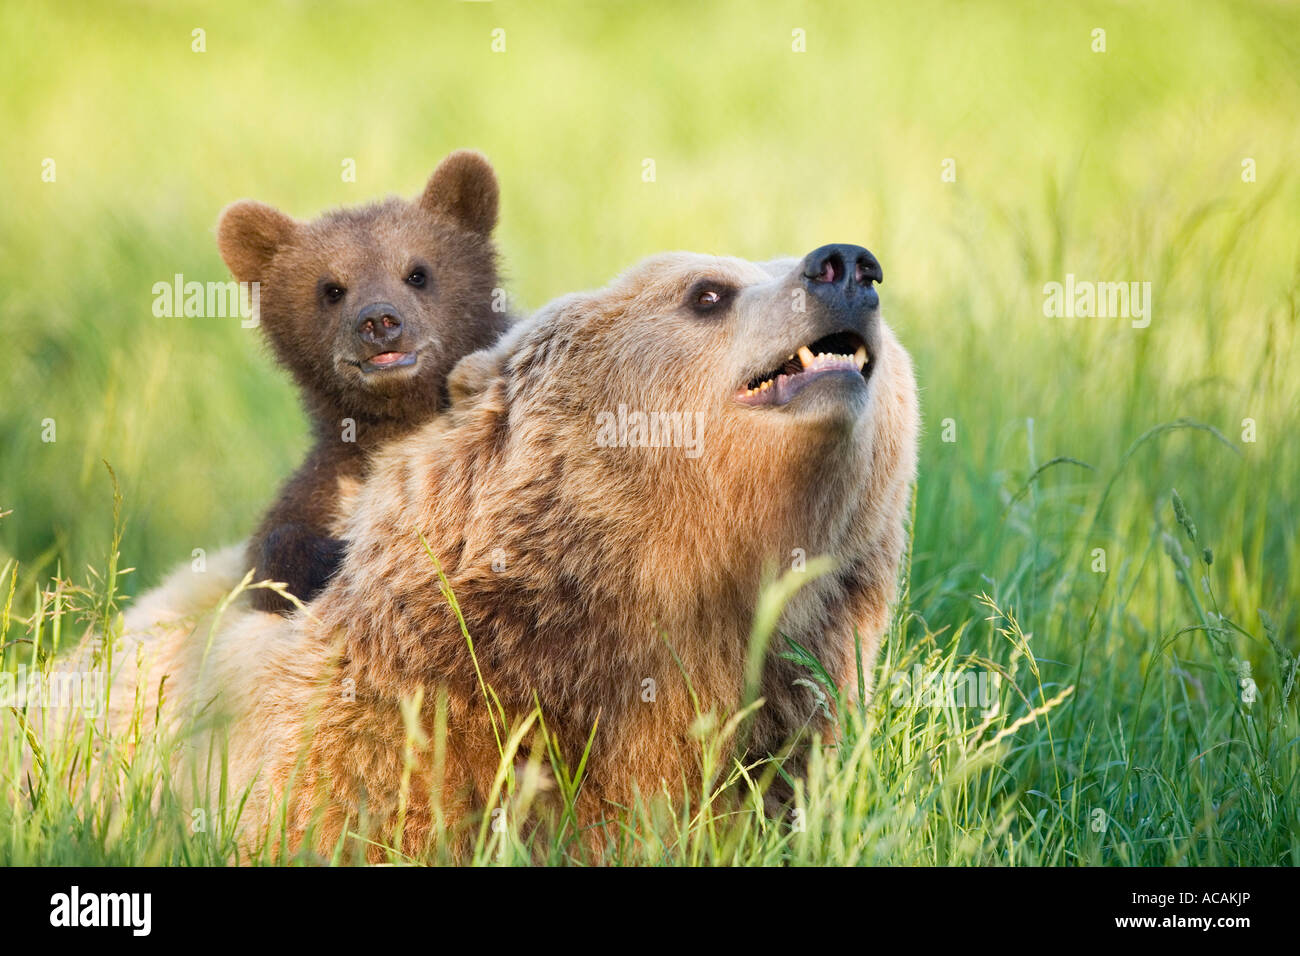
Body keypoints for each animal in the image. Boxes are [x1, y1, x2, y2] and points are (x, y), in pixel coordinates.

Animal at [216, 149, 510, 614]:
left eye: (417, 272)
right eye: (332, 288)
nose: (379, 320)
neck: (399, 418)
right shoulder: (328, 480)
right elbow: (273, 546)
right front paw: (325, 557)